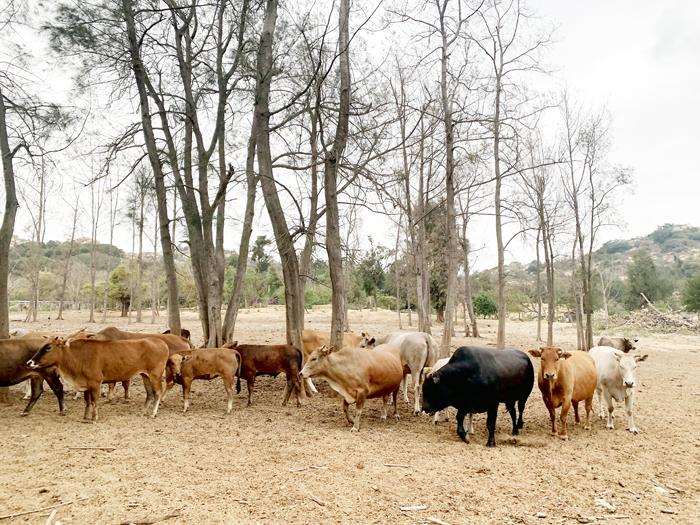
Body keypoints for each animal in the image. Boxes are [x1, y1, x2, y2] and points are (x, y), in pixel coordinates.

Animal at [27, 336, 171, 422]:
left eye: (48, 347)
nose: (29, 362)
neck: (77, 356)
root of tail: (160, 342)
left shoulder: (96, 383)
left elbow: (94, 401)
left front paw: (94, 417)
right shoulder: (85, 384)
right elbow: (87, 402)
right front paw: (85, 417)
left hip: (155, 375)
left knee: (157, 393)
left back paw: (152, 413)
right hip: (145, 375)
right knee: (150, 393)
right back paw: (144, 411)